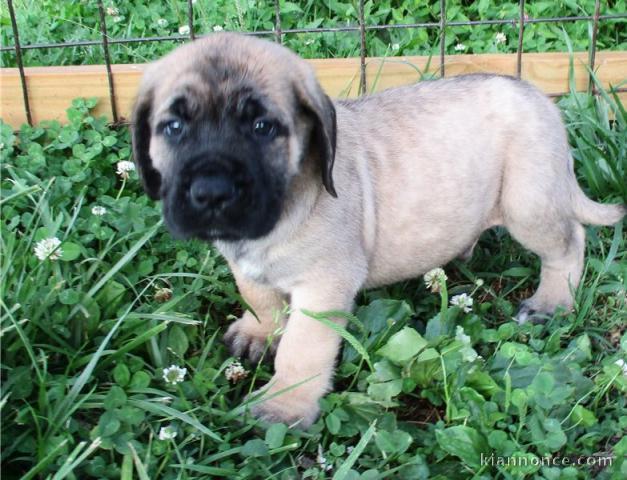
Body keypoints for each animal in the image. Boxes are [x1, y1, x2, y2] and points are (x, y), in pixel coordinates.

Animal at [131, 31, 624, 428]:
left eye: (262, 127)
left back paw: (551, 302)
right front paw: (259, 332)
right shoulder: (247, 265)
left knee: (569, 242)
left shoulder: (323, 287)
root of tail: (539, 99)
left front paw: (284, 406)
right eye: (172, 127)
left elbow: (301, 350)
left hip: (528, 203)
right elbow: (258, 294)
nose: (211, 192)